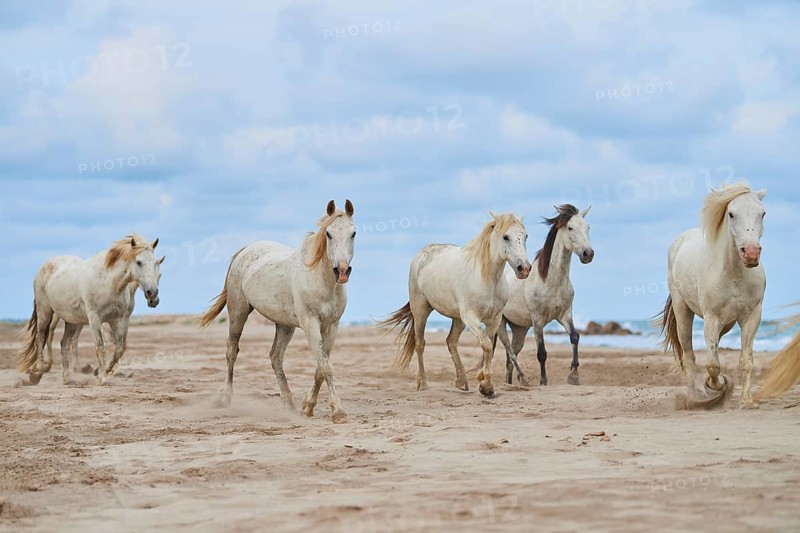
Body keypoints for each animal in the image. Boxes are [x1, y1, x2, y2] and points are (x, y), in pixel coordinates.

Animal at [18, 235, 164, 385]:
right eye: (139, 262)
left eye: (156, 264)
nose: (152, 293)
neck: (110, 283)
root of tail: (44, 266)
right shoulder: (96, 319)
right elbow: (101, 346)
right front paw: (102, 377)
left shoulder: (117, 319)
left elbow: (119, 348)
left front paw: (100, 371)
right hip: (45, 312)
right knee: (41, 337)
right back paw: (38, 373)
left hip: (71, 320)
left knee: (65, 343)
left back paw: (67, 378)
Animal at [199, 200, 356, 424]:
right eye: (328, 234)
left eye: (353, 233)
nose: (342, 271)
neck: (321, 280)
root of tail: (246, 250)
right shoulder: (310, 323)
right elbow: (325, 367)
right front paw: (338, 412)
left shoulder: (332, 326)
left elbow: (320, 367)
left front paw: (308, 407)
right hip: (238, 313)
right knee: (232, 351)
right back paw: (226, 397)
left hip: (284, 325)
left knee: (275, 356)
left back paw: (288, 403)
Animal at [379, 213, 531, 397]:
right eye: (505, 237)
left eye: (525, 236)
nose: (524, 268)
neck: (487, 278)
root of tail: (422, 253)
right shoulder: (471, 318)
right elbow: (487, 345)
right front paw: (486, 385)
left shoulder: (494, 319)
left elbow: (487, 348)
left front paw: (484, 384)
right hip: (421, 310)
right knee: (420, 344)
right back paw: (423, 384)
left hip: (457, 318)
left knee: (451, 341)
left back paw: (461, 381)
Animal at [496, 204, 594, 386]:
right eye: (570, 228)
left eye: (587, 227)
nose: (588, 254)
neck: (550, 280)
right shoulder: (538, 320)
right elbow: (541, 352)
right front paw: (543, 381)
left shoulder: (565, 315)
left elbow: (575, 337)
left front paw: (574, 376)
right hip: (501, 324)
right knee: (508, 351)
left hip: (520, 329)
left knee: (510, 356)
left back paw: (511, 383)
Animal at [657, 182, 767, 409]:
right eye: (731, 214)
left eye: (762, 213)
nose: (751, 253)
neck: (734, 273)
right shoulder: (711, 317)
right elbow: (713, 364)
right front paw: (715, 386)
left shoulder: (752, 316)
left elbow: (746, 360)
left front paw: (746, 400)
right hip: (683, 313)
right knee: (688, 357)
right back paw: (694, 398)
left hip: (727, 324)